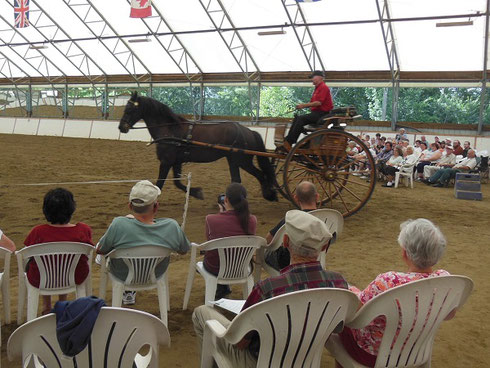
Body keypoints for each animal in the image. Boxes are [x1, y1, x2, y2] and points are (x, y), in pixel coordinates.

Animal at [118, 91, 278, 201]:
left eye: (129, 110)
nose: (121, 127)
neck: (170, 130)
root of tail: (249, 131)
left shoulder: (166, 161)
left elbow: (160, 183)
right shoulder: (176, 162)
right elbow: (177, 183)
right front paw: (197, 192)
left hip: (242, 161)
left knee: (260, 175)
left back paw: (269, 194)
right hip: (233, 160)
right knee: (238, 179)